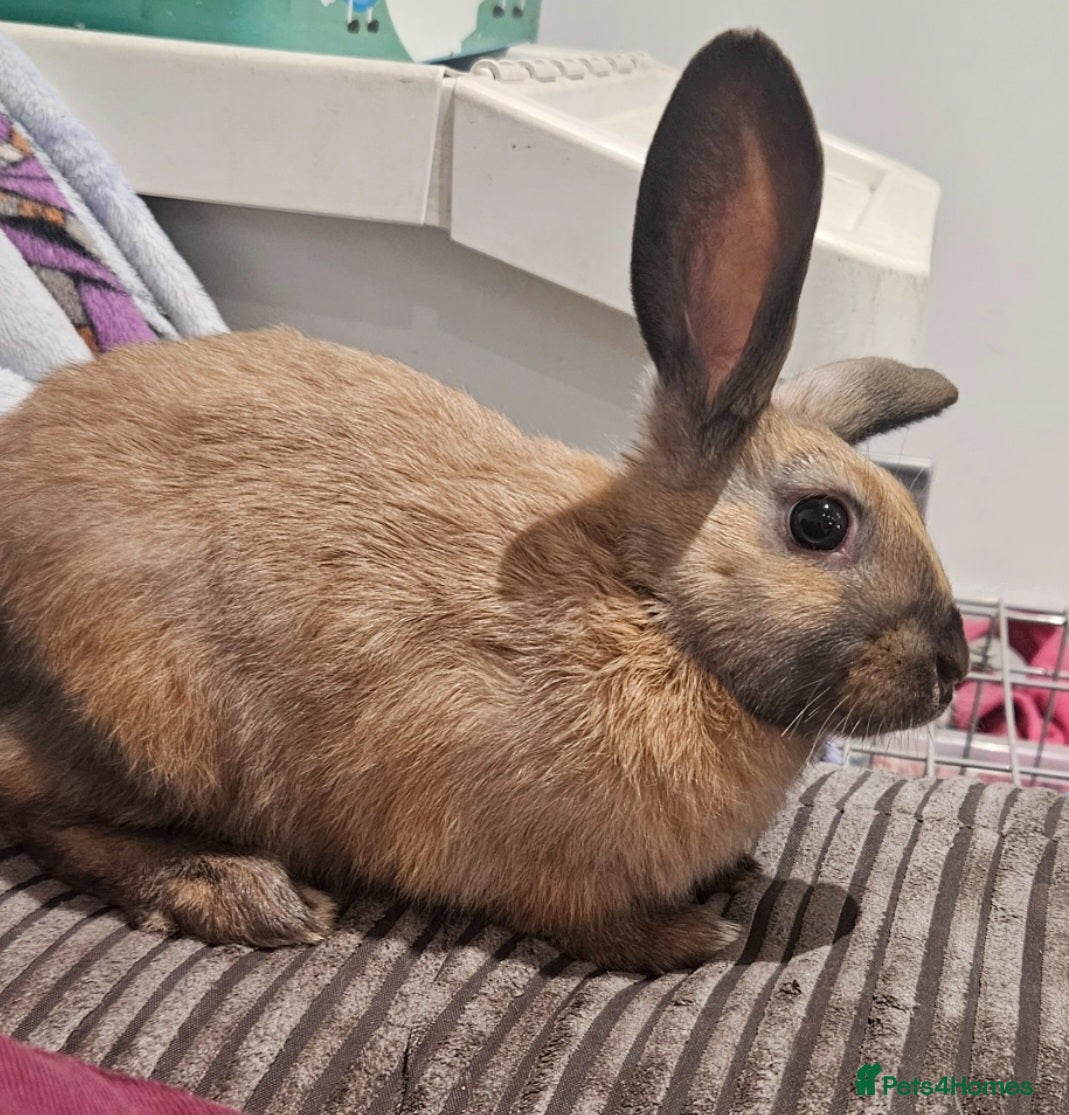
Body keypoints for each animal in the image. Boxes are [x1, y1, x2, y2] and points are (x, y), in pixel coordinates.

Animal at [0, 29, 968, 974]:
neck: (653, 609)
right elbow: (579, 916)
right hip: (145, 721)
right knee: (43, 813)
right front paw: (688, 936)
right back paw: (244, 891)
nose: (953, 666)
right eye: (820, 522)